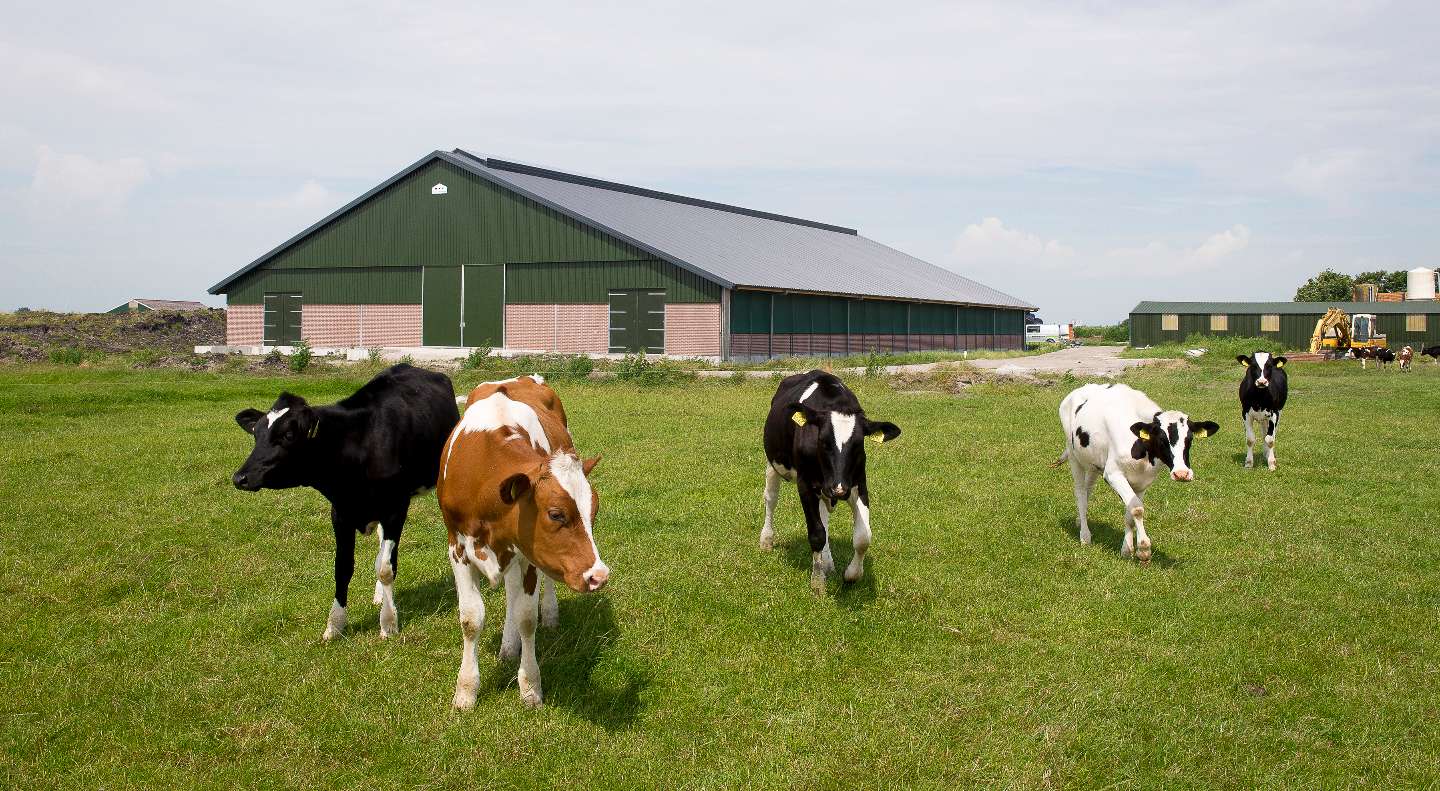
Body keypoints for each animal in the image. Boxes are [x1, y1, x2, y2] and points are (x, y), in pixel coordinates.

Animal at [230, 360, 457, 639]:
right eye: (256, 433)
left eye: (288, 435)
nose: (240, 477)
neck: (360, 444)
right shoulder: (341, 512)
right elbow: (343, 568)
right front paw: (335, 625)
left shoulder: (395, 508)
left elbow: (385, 568)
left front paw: (388, 623)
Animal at [432, 371, 601, 708]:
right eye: (556, 514)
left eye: (594, 510)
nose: (598, 575)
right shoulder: (457, 547)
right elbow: (471, 619)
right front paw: (466, 691)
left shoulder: (530, 555)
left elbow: (526, 617)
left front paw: (531, 687)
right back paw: (508, 647)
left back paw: (547, 615)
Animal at [760, 368, 892, 593]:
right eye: (822, 441)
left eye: (858, 445)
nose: (838, 489)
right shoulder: (805, 484)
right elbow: (816, 534)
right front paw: (818, 583)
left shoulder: (858, 483)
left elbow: (863, 537)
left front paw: (852, 575)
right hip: (774, 463)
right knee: (771, 499)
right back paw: (767, 540)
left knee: (824, 517)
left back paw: (828, 562)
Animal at [1054, 383, 1221, 561]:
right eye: (1162, 439)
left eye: (1189, 439)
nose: (1181, 473)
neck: (1141, 448)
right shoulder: (1113, 474)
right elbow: (1137, 508)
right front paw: (1144, 548)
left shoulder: (1143, 481)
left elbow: (1130, 512)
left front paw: (1126, 550)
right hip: (1074, 456)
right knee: (1080, 492)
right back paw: (1085, 535)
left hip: (1093, 462)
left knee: (1088, 490)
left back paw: (1080, 520)